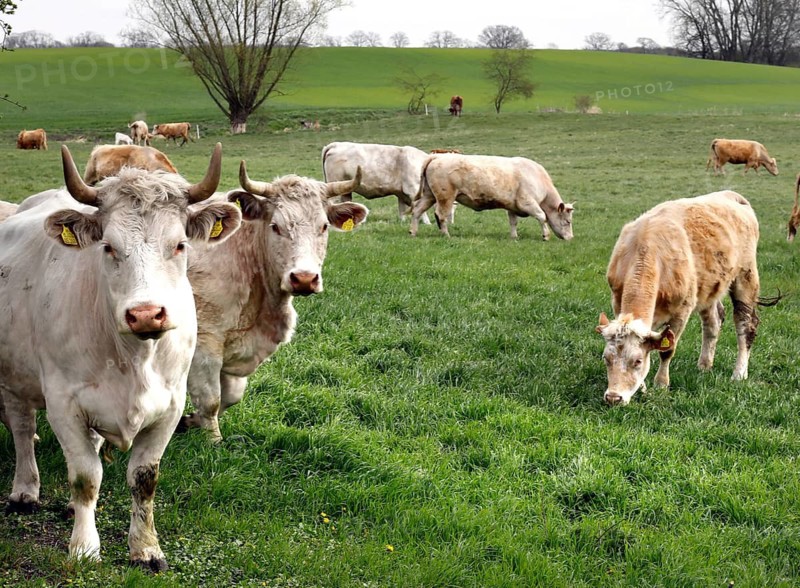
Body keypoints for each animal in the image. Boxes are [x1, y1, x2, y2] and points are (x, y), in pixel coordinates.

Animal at [0, 143, 242, 568]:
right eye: (109, 247)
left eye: (180, 245)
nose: (146, 313)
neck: (134, 358)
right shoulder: (63, 404)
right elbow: (85, 478)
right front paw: (84, 546)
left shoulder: (170, 405)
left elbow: (144, 479)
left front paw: (145, 547)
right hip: (14, 378)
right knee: (23, 431)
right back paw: (25, 489)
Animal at [178, 163, 369, 442]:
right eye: (275, 226)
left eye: (324, 226)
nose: (304, 278)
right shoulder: (205, 342)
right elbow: (211, 400)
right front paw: (212, 441)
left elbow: (230, 396)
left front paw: (191, 421)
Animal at [411, 154, 574, 241]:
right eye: (567, 221)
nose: (571, 238)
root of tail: (437, 156)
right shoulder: (527, 202)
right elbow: (542, 216)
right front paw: (545, 236)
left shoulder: (512, 206)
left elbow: (513, 222)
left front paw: (514, 237)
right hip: (445, 197)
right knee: (441, 215)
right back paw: (446, 234)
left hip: (429, 196)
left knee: (417, 211)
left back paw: (413, 231)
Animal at [596, 190, 763, 406]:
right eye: (606, 358)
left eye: (637, 361)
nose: (614, 397)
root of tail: (732, 195)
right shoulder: (617, 303)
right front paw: (642, 387)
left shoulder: (682, 311)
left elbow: (667, 350)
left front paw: (661, 385)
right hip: (708, 289)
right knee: (713, 323)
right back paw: (704, 365)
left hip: (746, 277)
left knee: (745, 325)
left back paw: (739, 373)